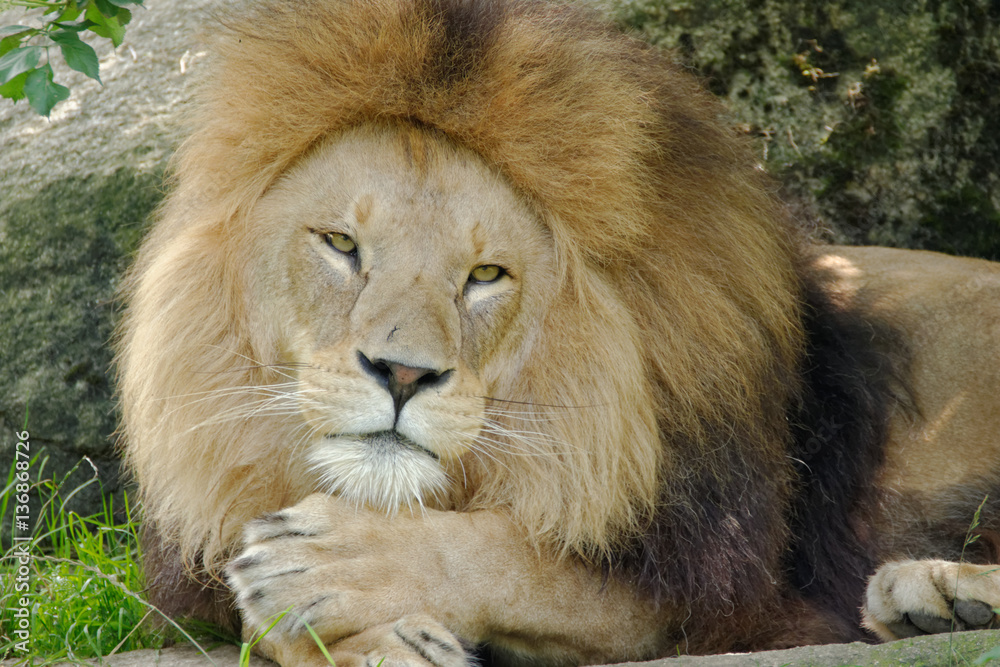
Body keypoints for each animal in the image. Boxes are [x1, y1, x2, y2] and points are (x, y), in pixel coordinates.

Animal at [116, 0, 1000, 665]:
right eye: (340, 244)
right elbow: (252, 613)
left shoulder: (716, 594)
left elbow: (513, 557)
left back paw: (938, 590)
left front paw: (337, 566)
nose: (401, 374)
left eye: (485, 275)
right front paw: (369, 638)